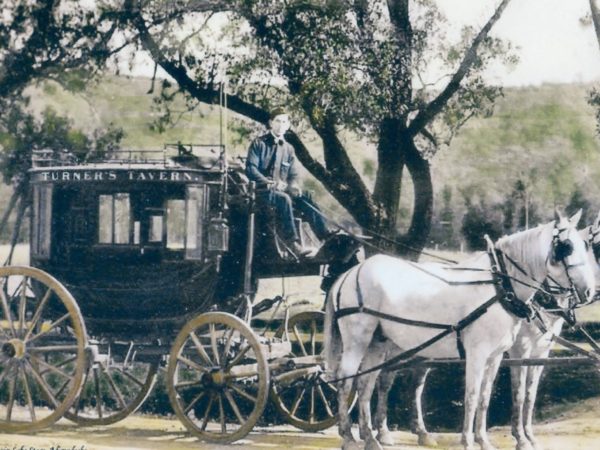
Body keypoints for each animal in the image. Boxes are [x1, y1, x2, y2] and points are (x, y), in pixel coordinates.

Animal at [326, 211, 592, 450]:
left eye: (584, 246)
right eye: (566, 247)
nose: (589, 291)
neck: (499, 286)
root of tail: (349, 274)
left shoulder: (496, 356)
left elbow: (485, 397)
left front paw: (484, 440)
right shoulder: (480, 353)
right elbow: (472, 396)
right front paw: (469, 441)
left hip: (378, 342)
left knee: (366, 384)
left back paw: (371, 439)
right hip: (358, 340)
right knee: (346, 382)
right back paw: (349, 438)